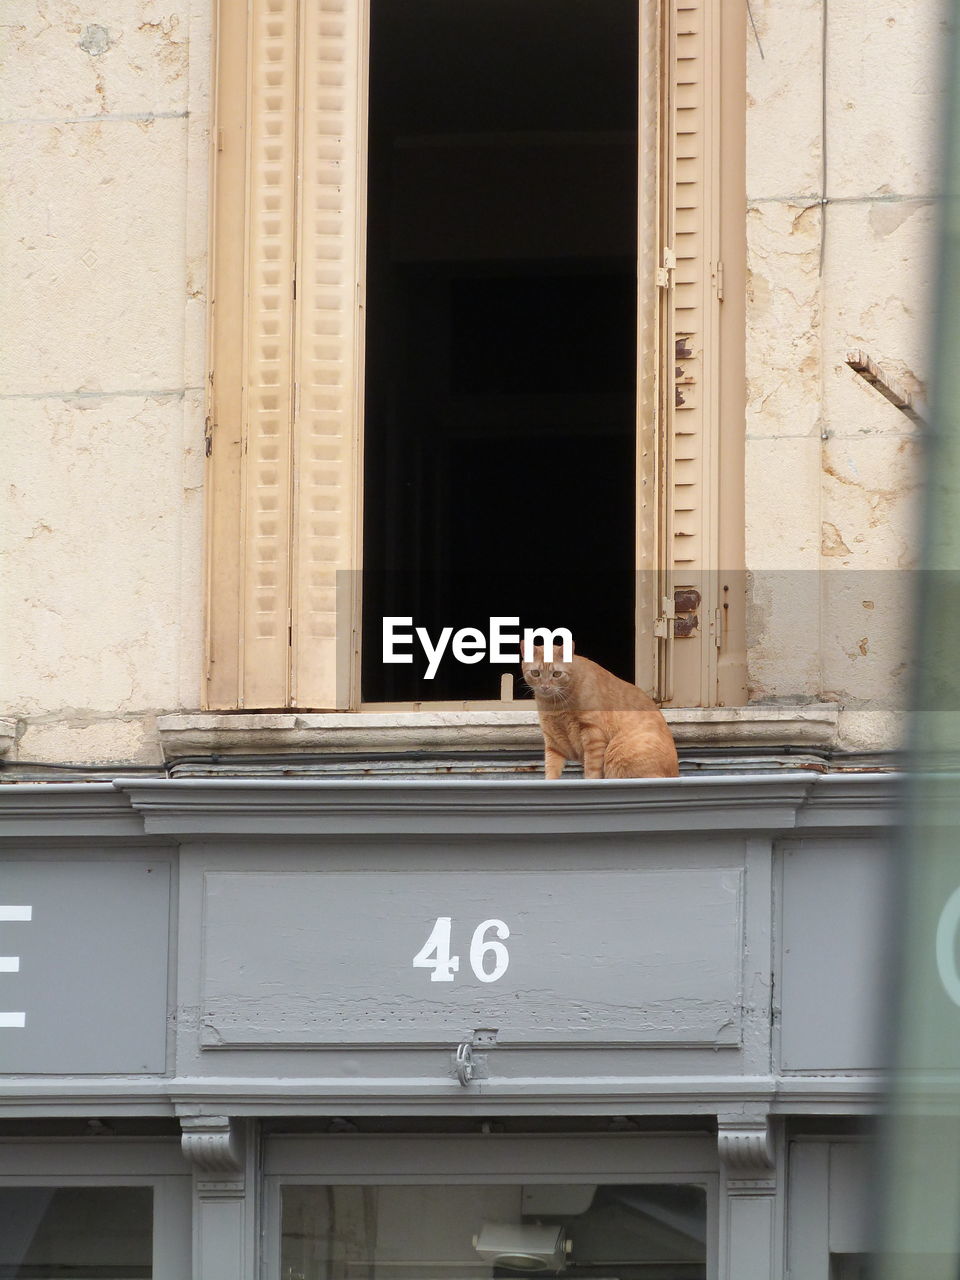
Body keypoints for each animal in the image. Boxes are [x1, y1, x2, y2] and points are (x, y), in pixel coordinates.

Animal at [522, 645, 680, 773]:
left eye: (556, 674)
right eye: (535, 673)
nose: (545, 687)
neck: (554, 705)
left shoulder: (594, 736)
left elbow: (592, 773)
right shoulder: (553, 743)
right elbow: (551, 772)